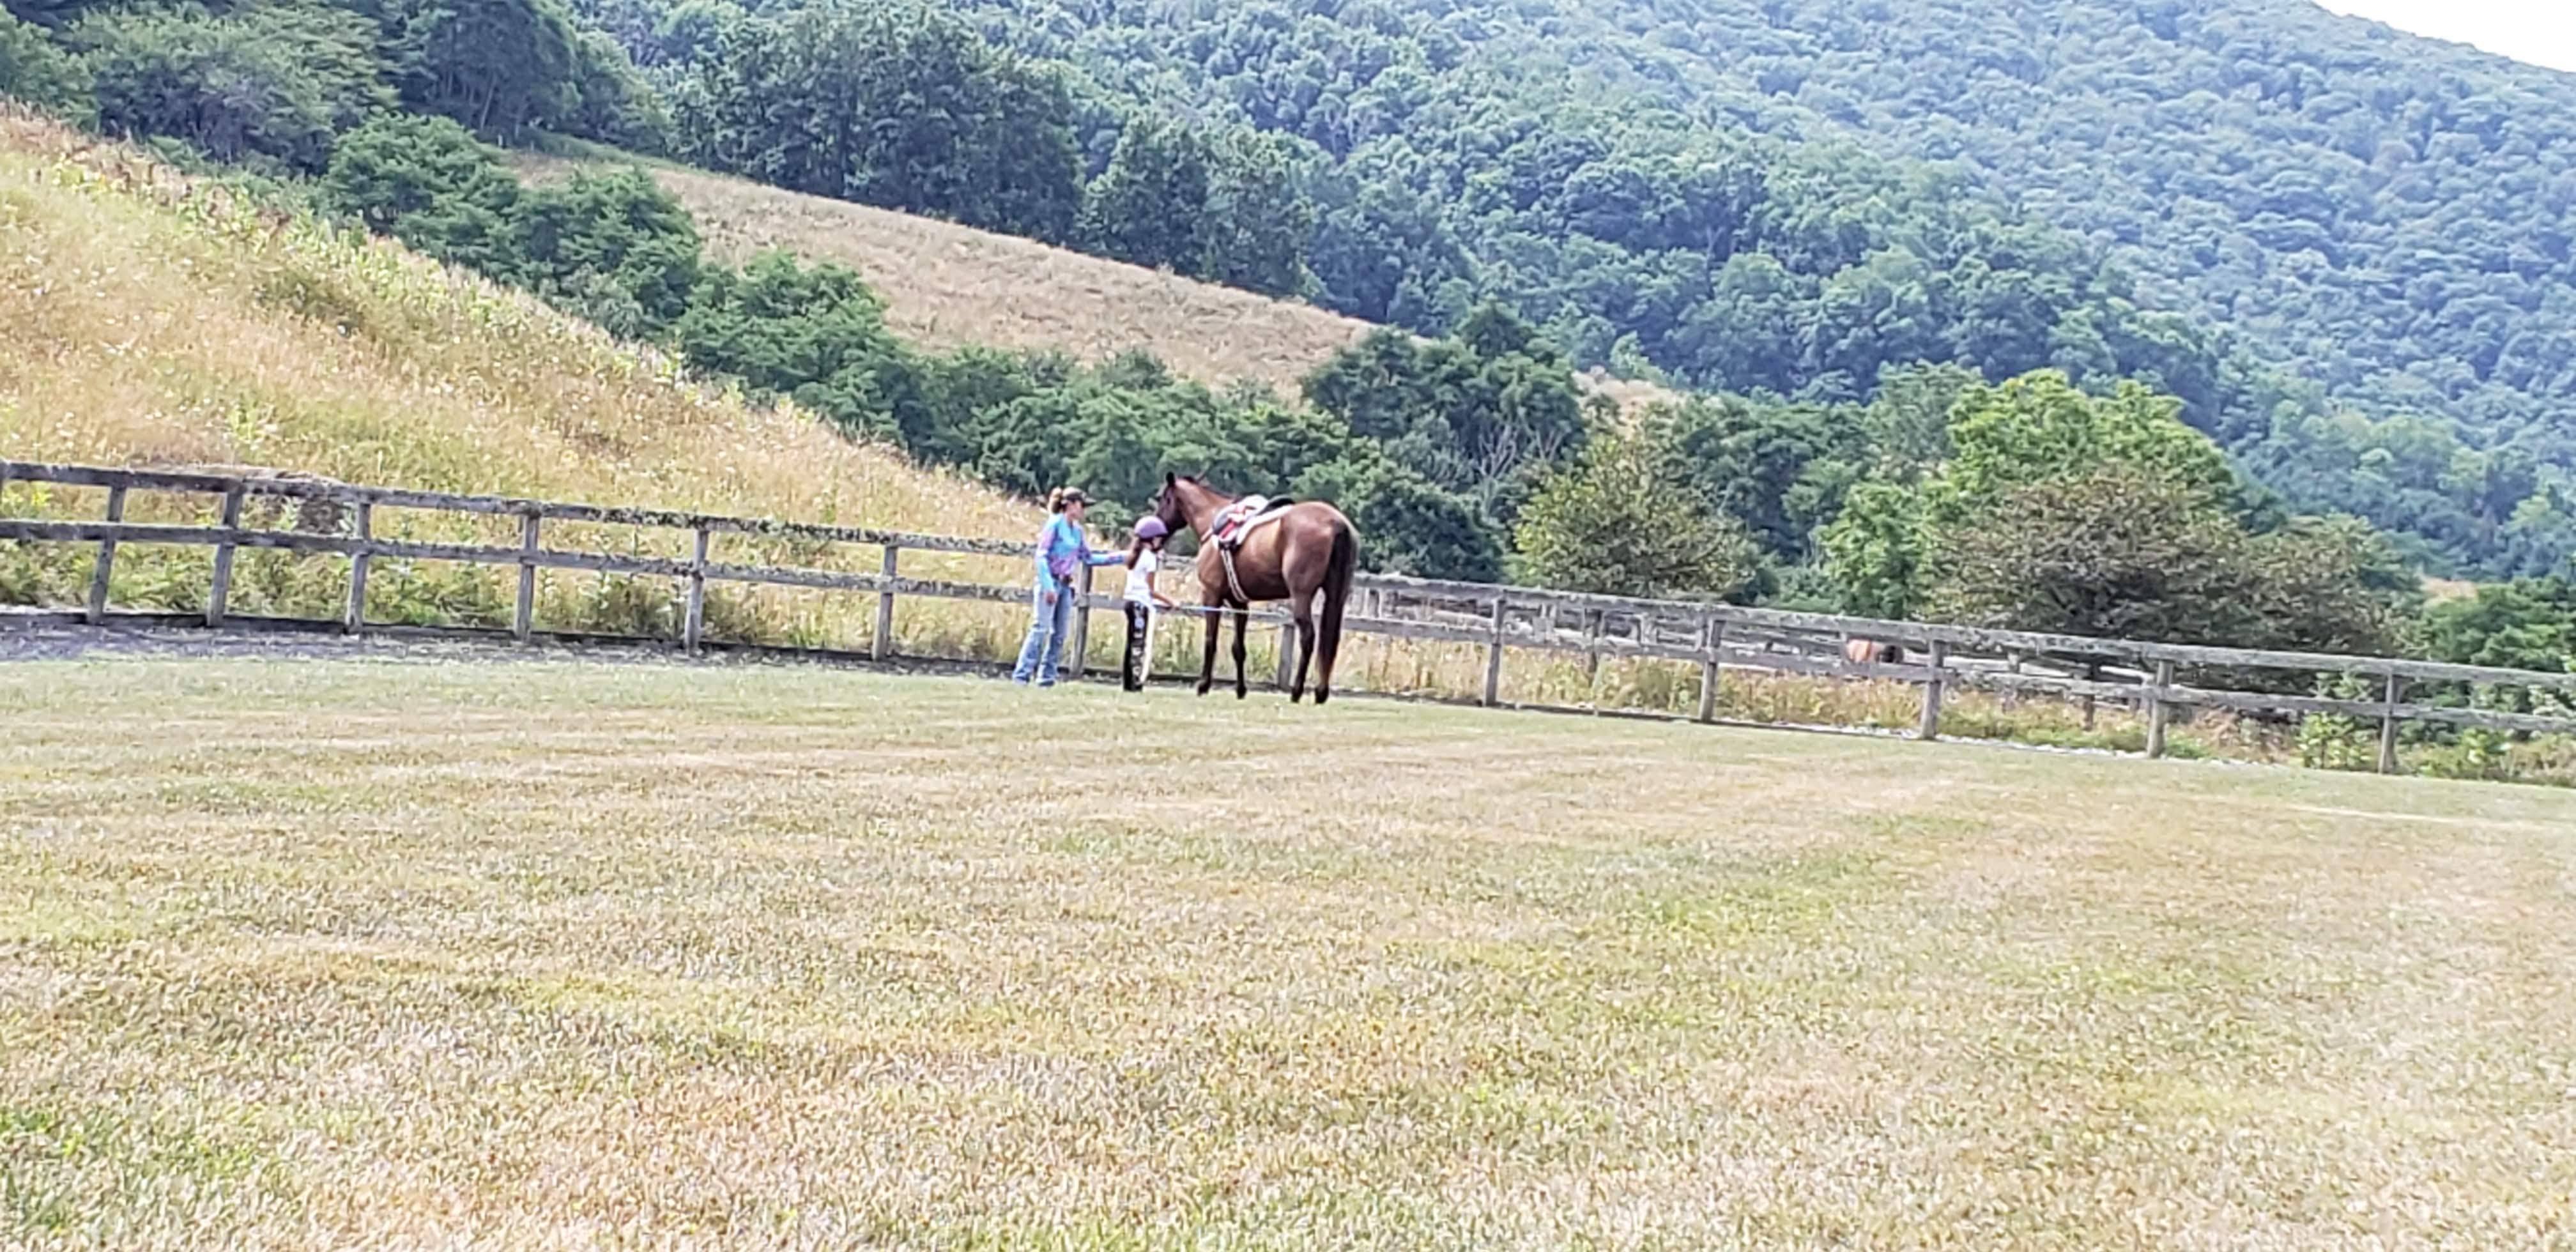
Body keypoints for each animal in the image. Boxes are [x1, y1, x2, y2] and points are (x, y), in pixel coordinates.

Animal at [1148, 474, 1359, 704]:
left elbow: (1210, 641)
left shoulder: (1211, 596)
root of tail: (1337, 524)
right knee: (1330, 640)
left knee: (1308, 638)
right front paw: (1241, 690)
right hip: (1337, 596)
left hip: (1302, 596)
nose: (1155, 537)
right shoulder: (1240, 604)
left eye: (1161, 498)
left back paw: (1297, 691)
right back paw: (1321, 693)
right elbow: (1238, 648)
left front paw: (1203, 685)